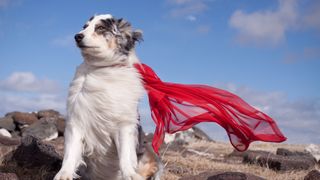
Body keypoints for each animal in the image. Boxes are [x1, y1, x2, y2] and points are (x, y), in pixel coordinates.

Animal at [54, 14, 162, 180]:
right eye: (85, 26)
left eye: (100, 28)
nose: (77, 36)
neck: (102, 69)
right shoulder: (76, 120)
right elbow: (70, 154)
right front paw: (63, 174)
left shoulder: (124, 125)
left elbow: (125, 155)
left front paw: (130, 174)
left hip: (150, 153)